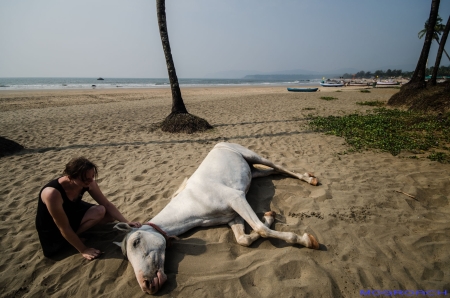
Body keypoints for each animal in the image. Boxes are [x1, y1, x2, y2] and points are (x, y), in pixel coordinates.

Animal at [115, 143, 320, 294]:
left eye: (136, 242)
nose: (146, 285)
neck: (193, 202)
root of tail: (221, 143)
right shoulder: (233, 216)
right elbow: (244, 239)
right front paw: (270, 216)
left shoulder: (236, 198)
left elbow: (260, 228)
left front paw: (307, 240)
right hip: (253, 172)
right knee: (272, 172)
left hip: (254, 156)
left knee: (278, 166)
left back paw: (310, 179)